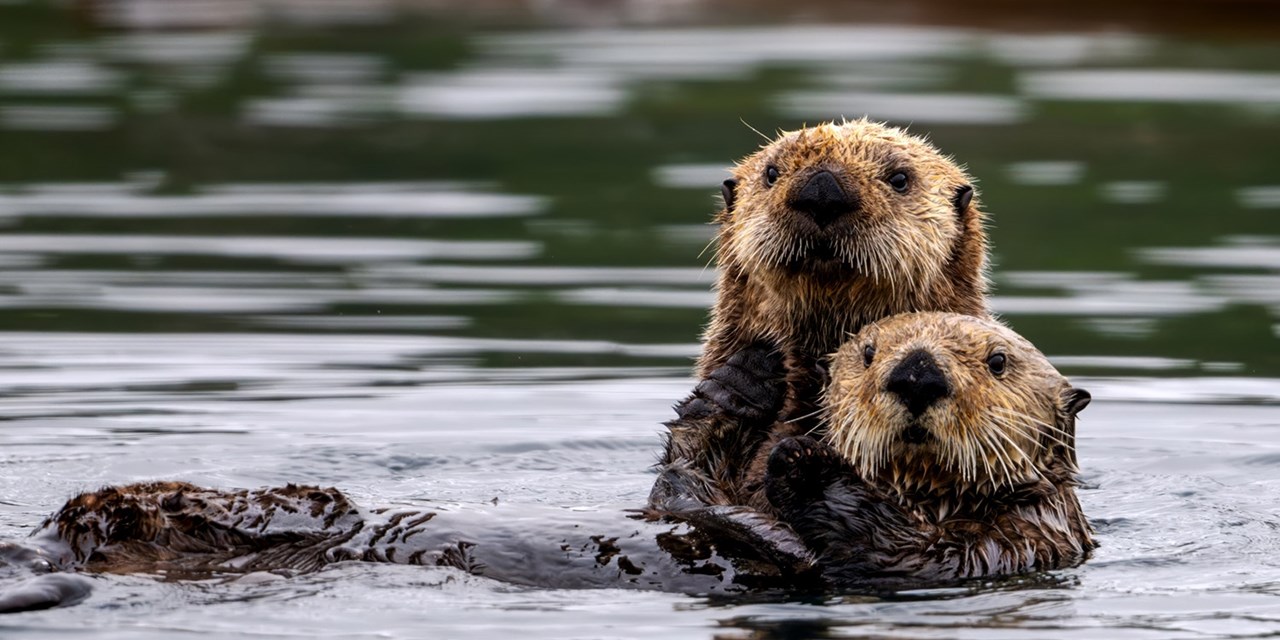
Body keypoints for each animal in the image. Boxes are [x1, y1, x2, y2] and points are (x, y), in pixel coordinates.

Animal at [762, 312, 1095, 586]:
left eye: (998, 361)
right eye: (868, 353)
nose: (917, 377)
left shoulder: (1026, 536)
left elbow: (921, 556)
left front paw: (804, 465)